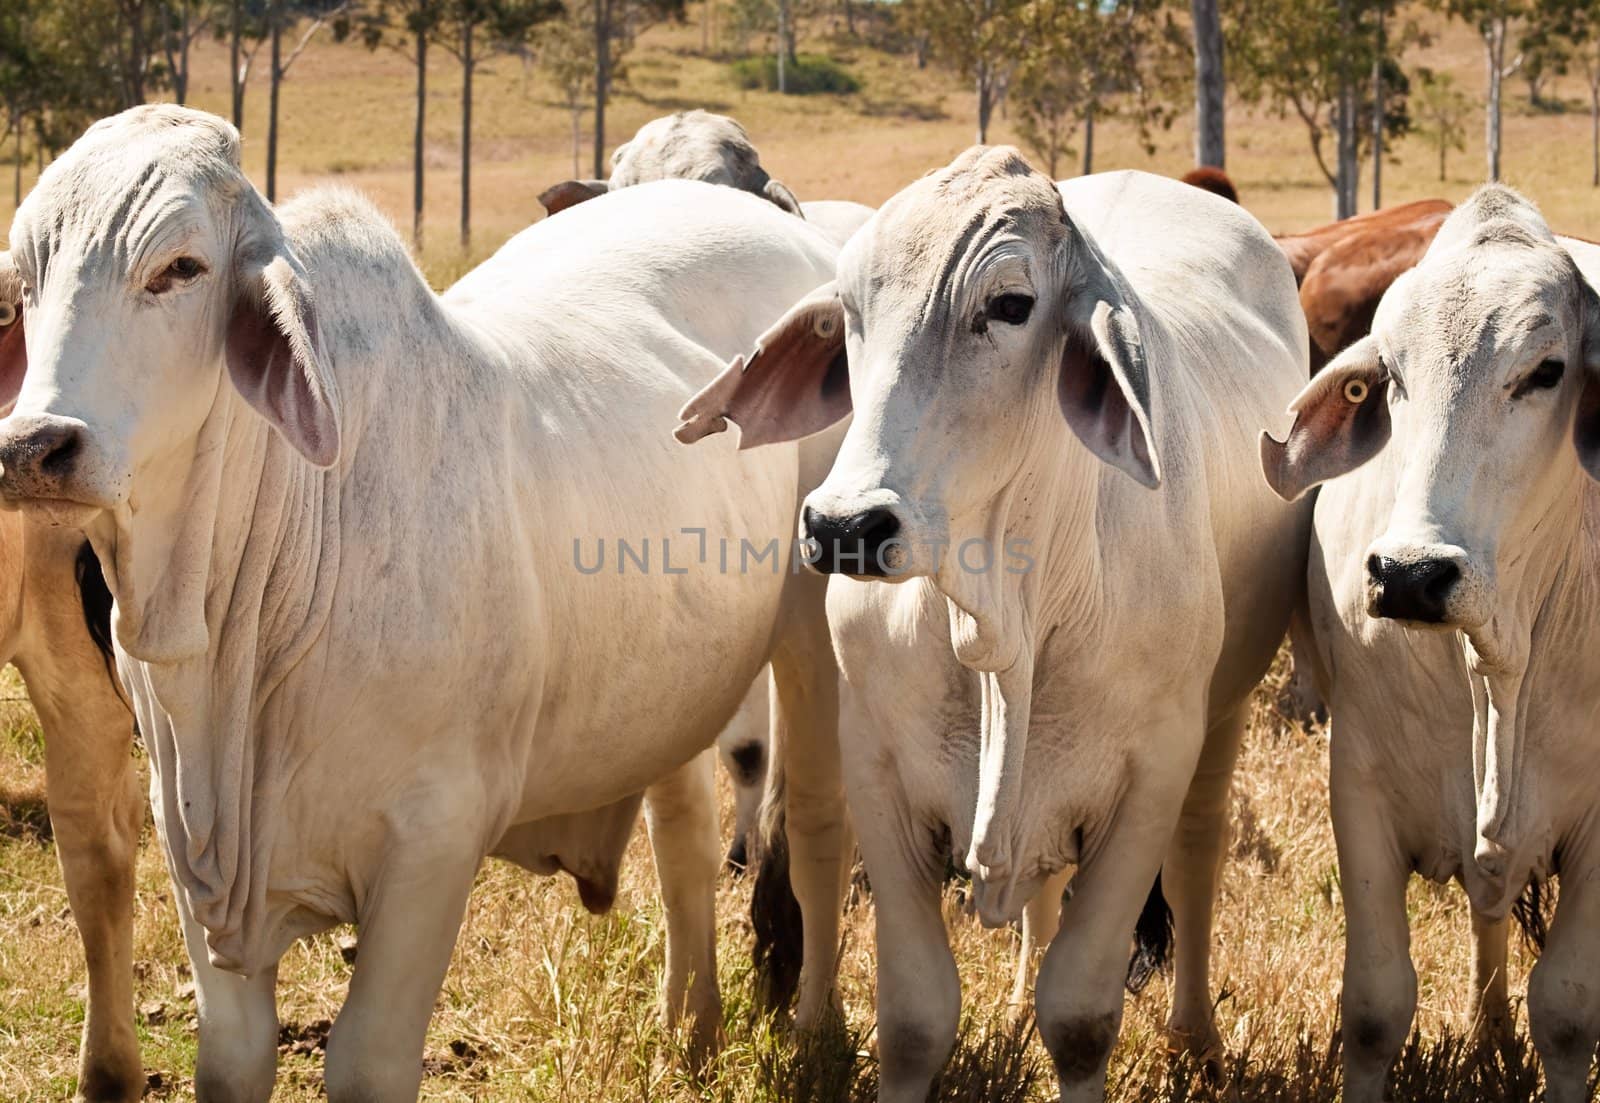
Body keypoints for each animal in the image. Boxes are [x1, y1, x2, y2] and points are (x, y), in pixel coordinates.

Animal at [0, 105, 851, 1101]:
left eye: (181, 267)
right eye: (28, 279)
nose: (36, 445)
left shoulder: (435, 840)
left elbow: (369, 1056)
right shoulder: (194, 842)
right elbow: (233, 1055)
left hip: (816, 634)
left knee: (820, 824)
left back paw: (819, 1031)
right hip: (674, 678)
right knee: (684, 834)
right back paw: (691, 1028)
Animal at [675, 148, 1312, 1101]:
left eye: (1009, 304)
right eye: (851, 308)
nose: (843, 525)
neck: (1002, 616)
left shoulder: (1149, 780)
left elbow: (1081, 1016)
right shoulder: (878, 768)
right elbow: (915, 1015)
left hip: (1223, 717)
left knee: (1199, 852)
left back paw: (1194, 1036)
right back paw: (1013, 1005)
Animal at [1267, 182, 1600, 1101]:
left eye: (1546, 372)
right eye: (1391, 379)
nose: (1411, 576)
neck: (1498, 663)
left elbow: (1567, 1011)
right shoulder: (1360, 786)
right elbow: (1376, 1006)